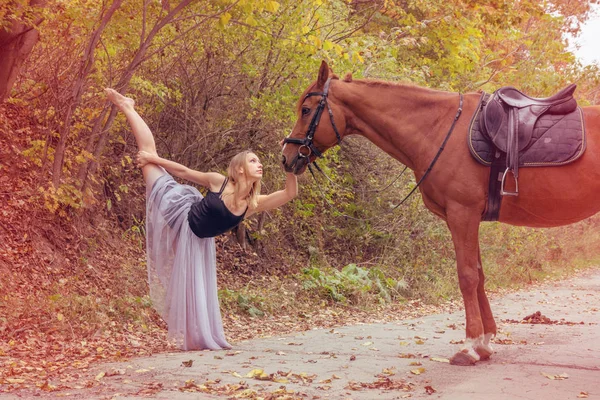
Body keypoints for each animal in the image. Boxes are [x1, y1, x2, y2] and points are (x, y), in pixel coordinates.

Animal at [280, 60, 600, 366]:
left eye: (306, 110)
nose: (286, 157)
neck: (439, 129)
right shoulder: (465, 218)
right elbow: (479, 275)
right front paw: (484, 342)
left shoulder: (462, 214)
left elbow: (467, 276)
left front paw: (469, 347)